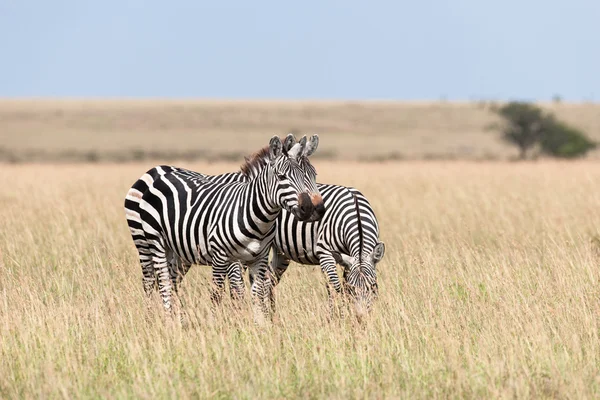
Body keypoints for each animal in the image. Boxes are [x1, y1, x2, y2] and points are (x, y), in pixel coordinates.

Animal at [123, 134, 326, 322]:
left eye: (313, 175)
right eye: (282, 177)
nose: (314, 209)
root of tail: (154, 170)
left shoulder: (262, 255)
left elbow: (256, 290)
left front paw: (259, 323)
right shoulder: (229, 258)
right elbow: (232, 290)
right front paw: (232, 321)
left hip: (178, 250)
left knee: (171, 281)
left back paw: (175, 318)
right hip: (145, 241)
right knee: (152, 280)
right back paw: (154, 319)